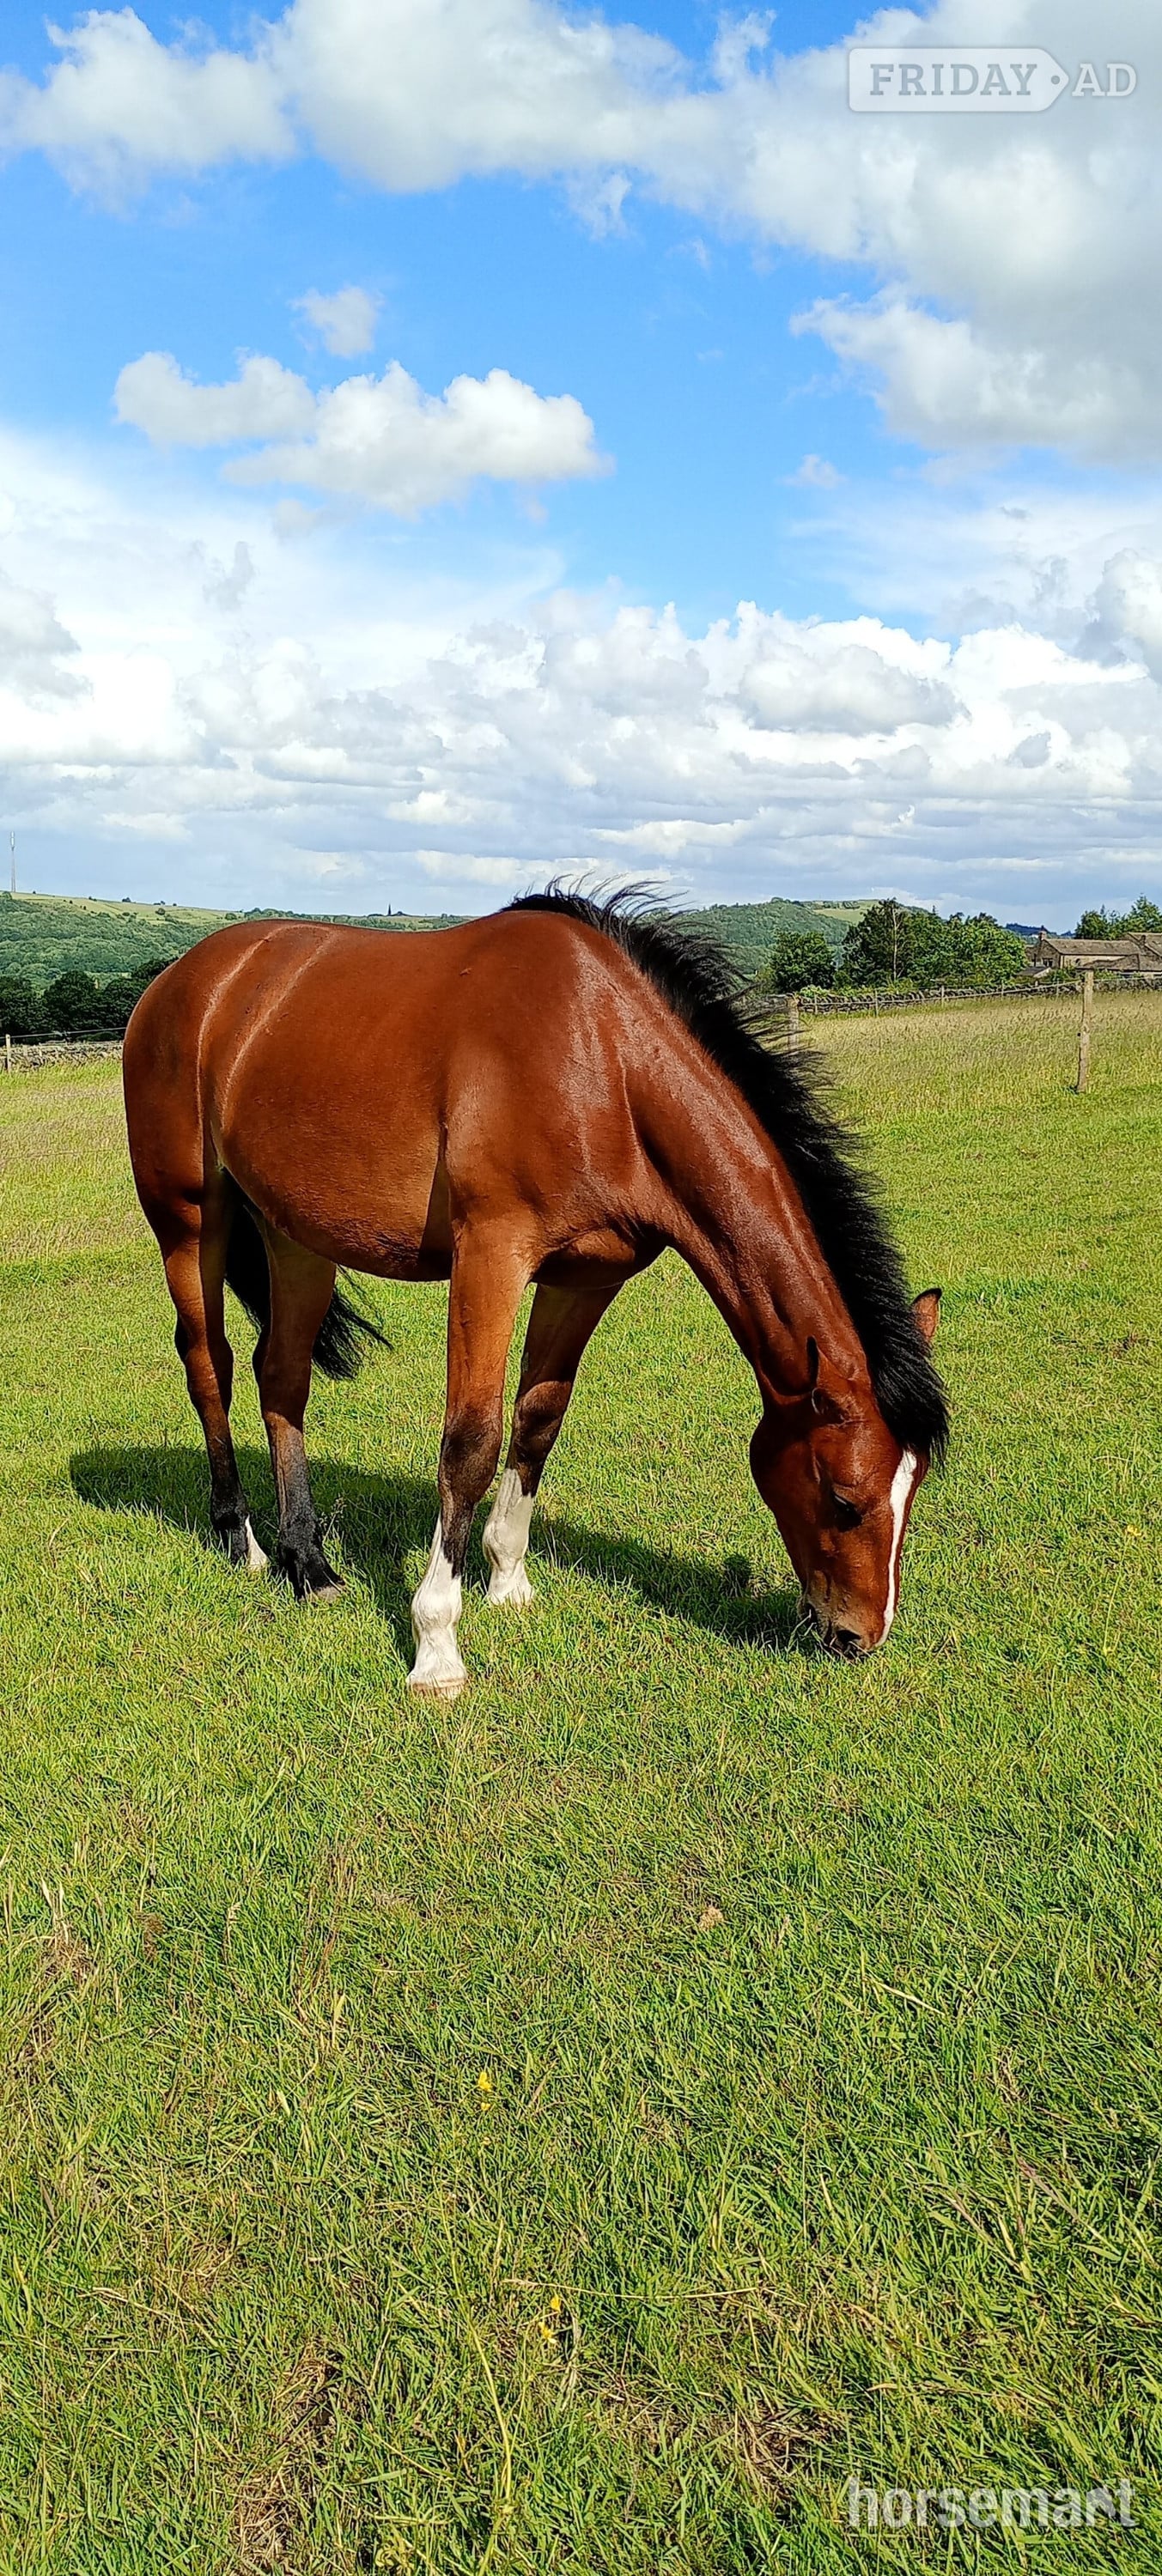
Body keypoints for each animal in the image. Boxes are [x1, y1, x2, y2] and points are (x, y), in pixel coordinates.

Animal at [122, 889, 947, 1694]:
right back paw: (243, 1539)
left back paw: (309, 1562)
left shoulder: (585, 1278)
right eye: (842, 1499)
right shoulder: (490, 1257)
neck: (604, 1063)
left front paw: (508, 1578)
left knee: (282, 1376)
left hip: (295, 1235)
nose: (857, 1635)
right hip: (192, 1224)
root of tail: (181, 981)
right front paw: (436, 1645)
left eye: (913, 1491)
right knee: (210, 1365)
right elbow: (470, 1442)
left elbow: (540, 1418)